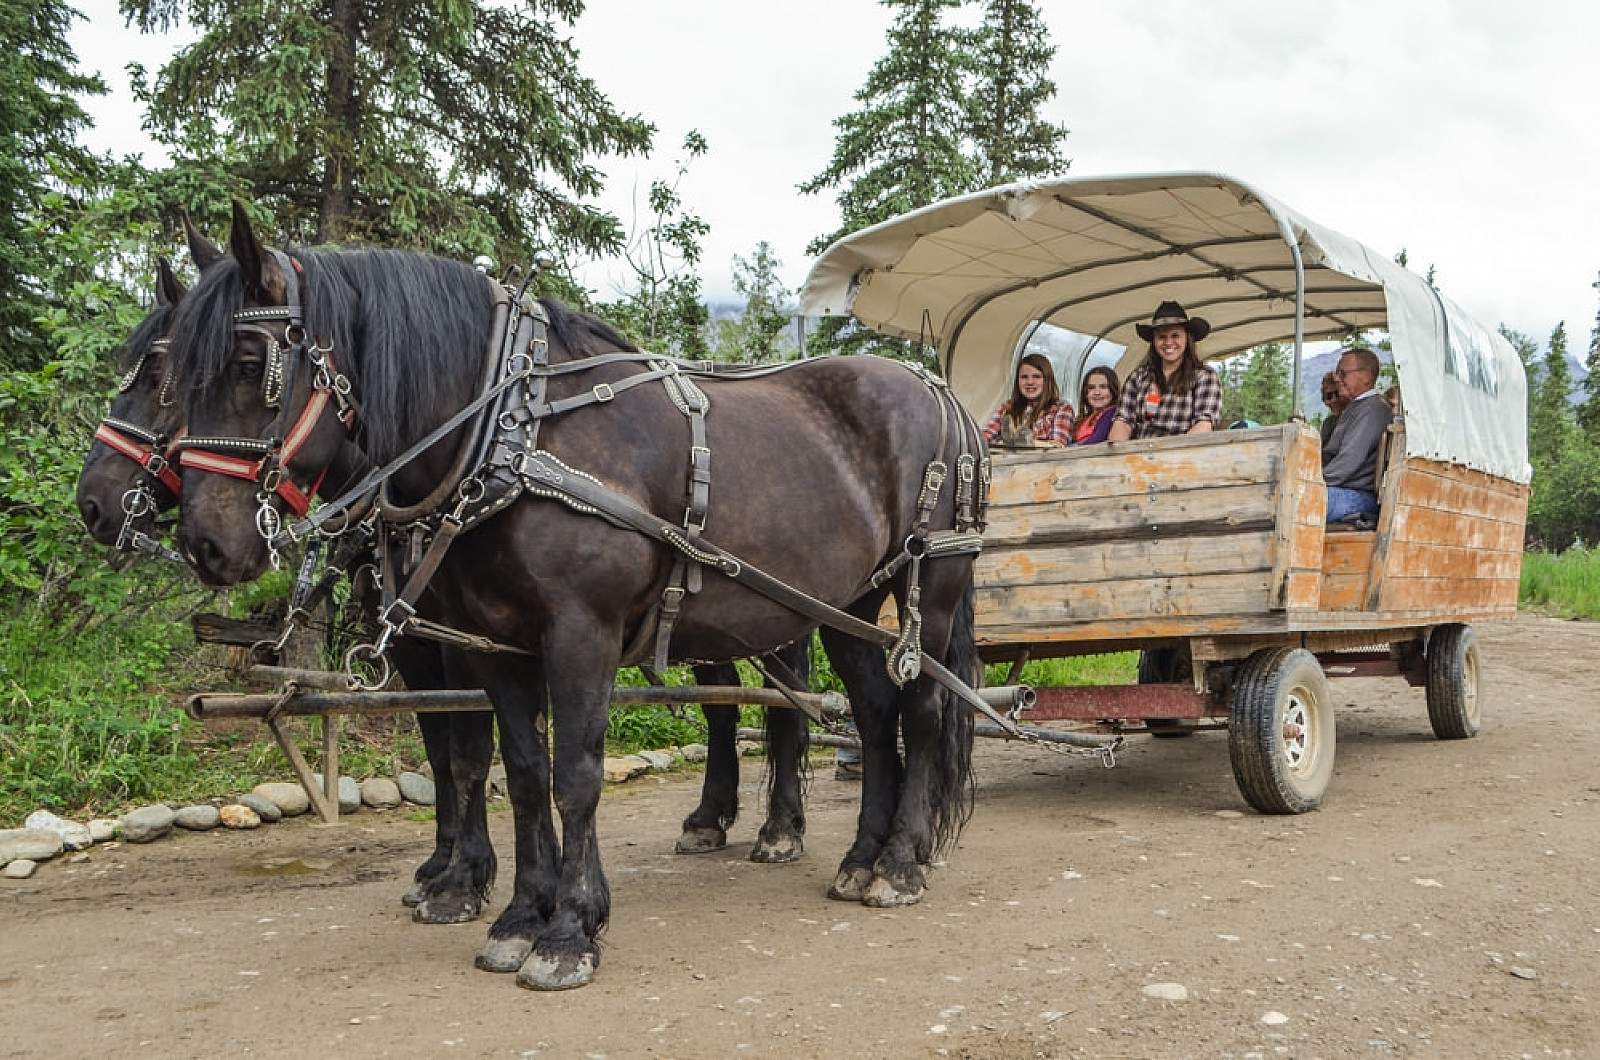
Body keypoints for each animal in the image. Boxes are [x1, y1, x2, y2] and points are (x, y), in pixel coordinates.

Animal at [73, 251, 812, 928]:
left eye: (165, 382)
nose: (94, 505)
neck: (488, 441)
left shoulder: (464, 640)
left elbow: (470, 751)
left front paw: (467, 880)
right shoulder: (434, 640)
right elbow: (448, 750)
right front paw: (449, 871)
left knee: (784, 703)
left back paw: (779, 827)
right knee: (729, 704)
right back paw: (715, 817)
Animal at [168, 209, 979, 999]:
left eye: (249, 365)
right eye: (174, 373)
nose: (202, 541)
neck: (513, 433)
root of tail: (939, 391)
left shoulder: (579, 634)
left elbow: (574, 777)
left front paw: (569, 931)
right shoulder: (493, 647)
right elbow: (523, 775)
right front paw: (521, 915)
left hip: (928, 595)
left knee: (921, 712)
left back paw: (900, 861)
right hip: (850, 605)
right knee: (871, 713)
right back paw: (863, 855)